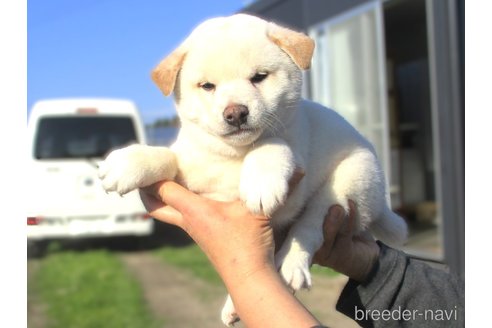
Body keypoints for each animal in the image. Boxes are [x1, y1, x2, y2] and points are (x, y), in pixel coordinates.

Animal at [97, 13, 408, 326]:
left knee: (309, 226)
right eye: (207, 86)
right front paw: (129, 161)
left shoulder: (294, 173)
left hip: (350, 180)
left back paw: (291, 266)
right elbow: (169, 156)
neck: (233, 155)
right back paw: (234, 304)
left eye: (259, 77)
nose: (235, 113)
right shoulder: (193, 166)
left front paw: (262, 182)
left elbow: (270, 142)